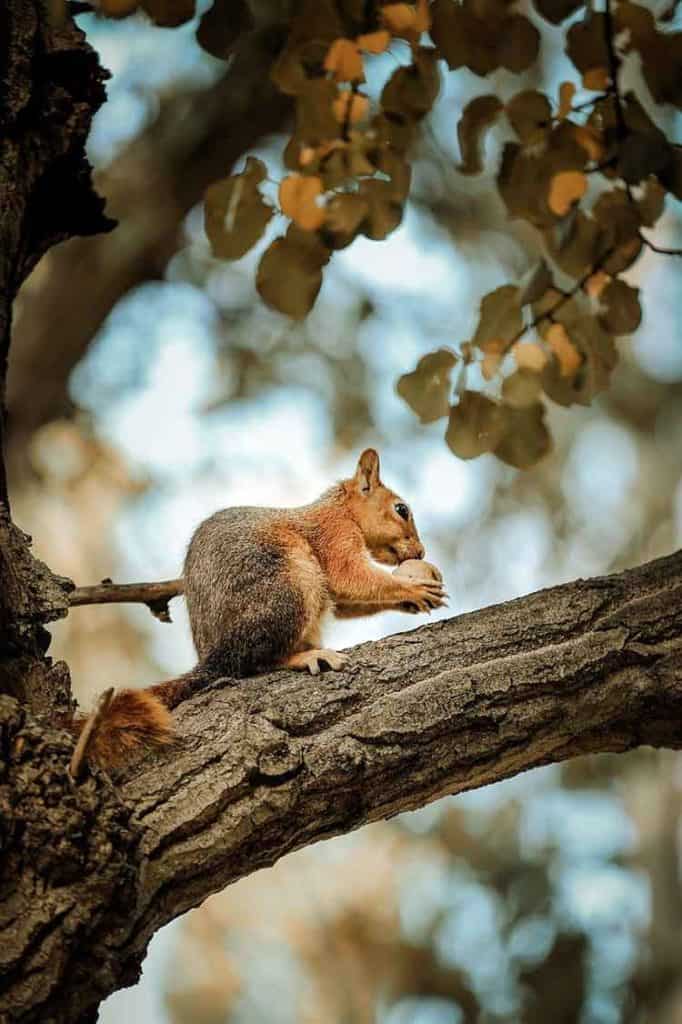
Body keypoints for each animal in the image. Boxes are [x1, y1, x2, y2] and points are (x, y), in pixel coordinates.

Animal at [66, 450, 444, 770]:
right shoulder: (333, 536)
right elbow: (349, 576)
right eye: (401, 510)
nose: (422, 553)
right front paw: (413, 588)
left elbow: (345, 599)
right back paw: (304, 657)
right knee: (253, 663)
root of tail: (212, 659)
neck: (343, 510)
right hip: (289, 589)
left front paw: (412, 600)